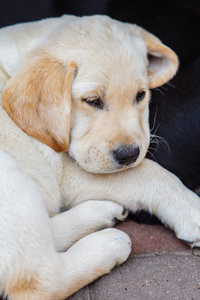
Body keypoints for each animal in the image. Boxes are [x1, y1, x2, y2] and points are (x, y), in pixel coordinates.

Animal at [0, 14, 200, 300]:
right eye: (92, 100)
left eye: (140, 95)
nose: (129, 155)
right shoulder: (65, 171)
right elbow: (151, 173)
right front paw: (192, 210)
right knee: (39, 280)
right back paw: (108, 244)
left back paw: (99, 213)